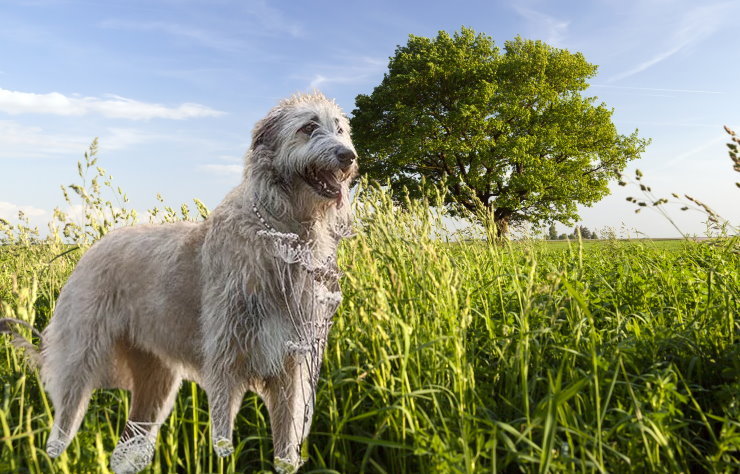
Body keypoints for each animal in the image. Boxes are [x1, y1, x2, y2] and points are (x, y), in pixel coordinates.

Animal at [3, 92, 356, 474]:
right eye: (308, 127)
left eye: (339, 129)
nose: (348, 157)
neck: (281, 231)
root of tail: (93, 247)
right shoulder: (225, 359)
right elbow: (222, 437)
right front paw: (222, 457)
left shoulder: (293, 363)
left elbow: (287, 440)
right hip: (80, 359)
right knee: (63, 424)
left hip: (154, 380)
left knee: (129, 441)